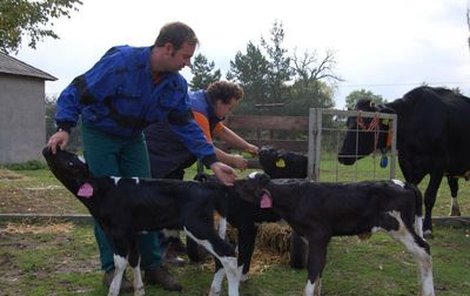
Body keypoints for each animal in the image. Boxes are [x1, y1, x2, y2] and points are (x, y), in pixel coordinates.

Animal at [43, 148, 242, 296]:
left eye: (70, 162)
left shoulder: (119, 232)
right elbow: (134, 259)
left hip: (198, 227)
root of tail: (207, 186)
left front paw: (114, 291)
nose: (49, 148)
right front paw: (139, 290)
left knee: (228, 253)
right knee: (221, 256)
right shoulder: (131, 233)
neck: (104, 192)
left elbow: (120, 263)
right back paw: (214, 290)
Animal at [237, 171, 436, 296]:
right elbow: (318, 273)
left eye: (247, 185)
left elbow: (313, 272)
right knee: (418, 255)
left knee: (424, 250)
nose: (233, 183)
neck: (296, 197)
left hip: (399, 226)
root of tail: (403, 184)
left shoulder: (318, 236)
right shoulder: (318, 240)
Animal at [338, 84, 470, 237]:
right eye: (348, 124)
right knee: (454, 186)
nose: (342, 156)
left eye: (364, 126)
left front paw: (427, 228)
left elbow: (429, 196)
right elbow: (414, 193)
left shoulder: (439, 164)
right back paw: (454, 211)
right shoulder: (406, 163)